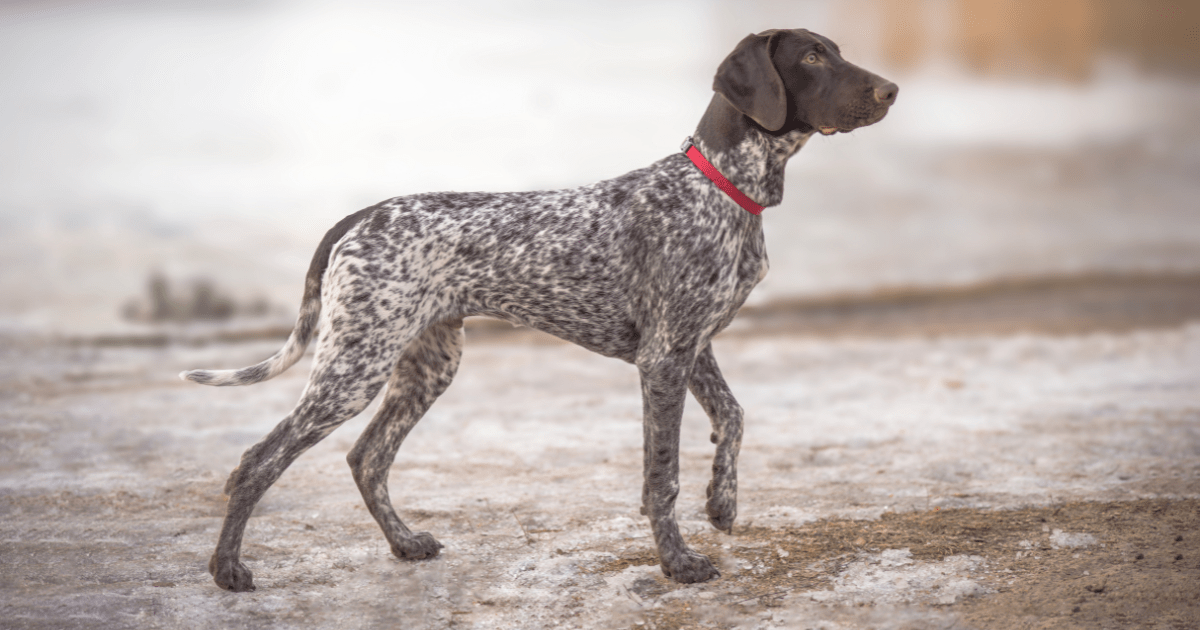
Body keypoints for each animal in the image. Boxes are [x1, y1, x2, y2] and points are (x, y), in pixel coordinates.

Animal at [182, 29, 897, 590]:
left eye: (834, 51)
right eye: (811, 57)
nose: (891, 89)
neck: (721, 186)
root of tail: (363, 215)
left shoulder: (693, 347)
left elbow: (735, 417)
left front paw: (722, 503)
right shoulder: (664, 359)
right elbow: (661, 476)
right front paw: (678, 562)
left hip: (426, 365)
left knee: (368, 457)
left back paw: (405, 542)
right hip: (354, 365)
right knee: (258, 462)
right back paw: (228, 571)